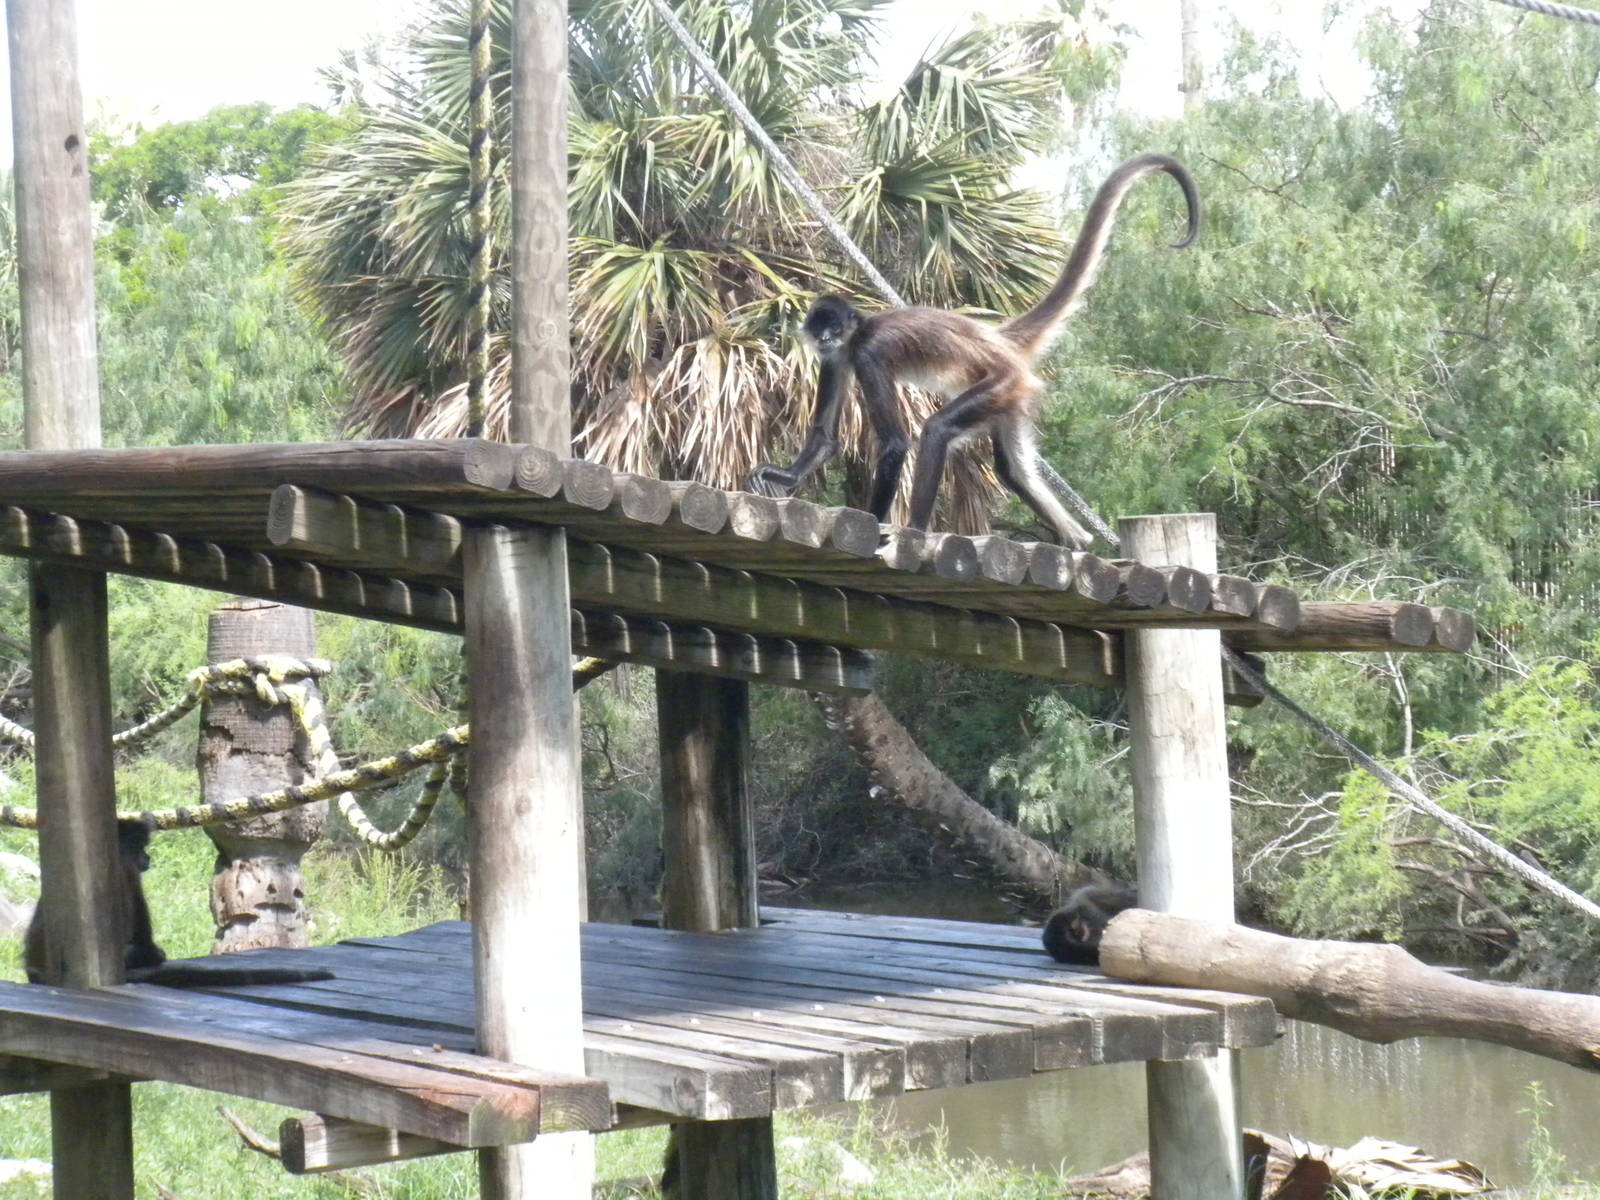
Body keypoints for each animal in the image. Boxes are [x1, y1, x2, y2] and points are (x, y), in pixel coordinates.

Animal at [749, 153, 1200, 549]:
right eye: (820, 329)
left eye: (836, 327)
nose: (826, 338)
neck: (857, 335)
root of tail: (998, 339)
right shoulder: (836, 360)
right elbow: (825, 436)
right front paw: (784, 476)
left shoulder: (867, 353)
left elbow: (895, 444)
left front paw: (872, 524)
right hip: (1012, 398)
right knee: (1013, 470)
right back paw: (1077, 539)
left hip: (1000, 383)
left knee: (936, 431)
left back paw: (915, 531)